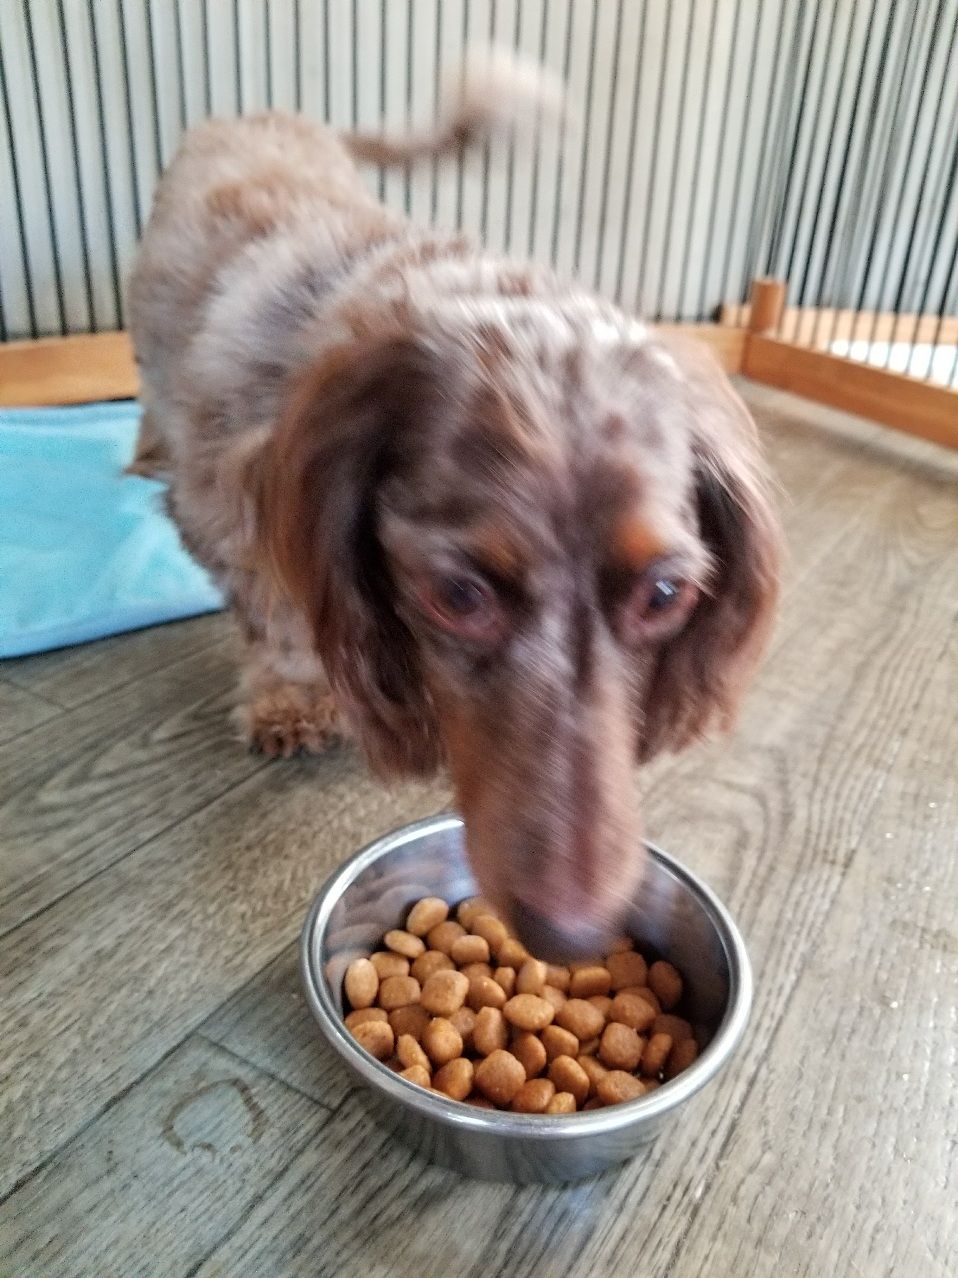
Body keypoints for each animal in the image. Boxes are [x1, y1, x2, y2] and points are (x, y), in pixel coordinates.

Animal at [128, 58, 780, 960]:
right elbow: (274, 623)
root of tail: (268, 115)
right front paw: (289, 699)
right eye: (457, 596)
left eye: (664, 595)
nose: (574, 934)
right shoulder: (226, 507)